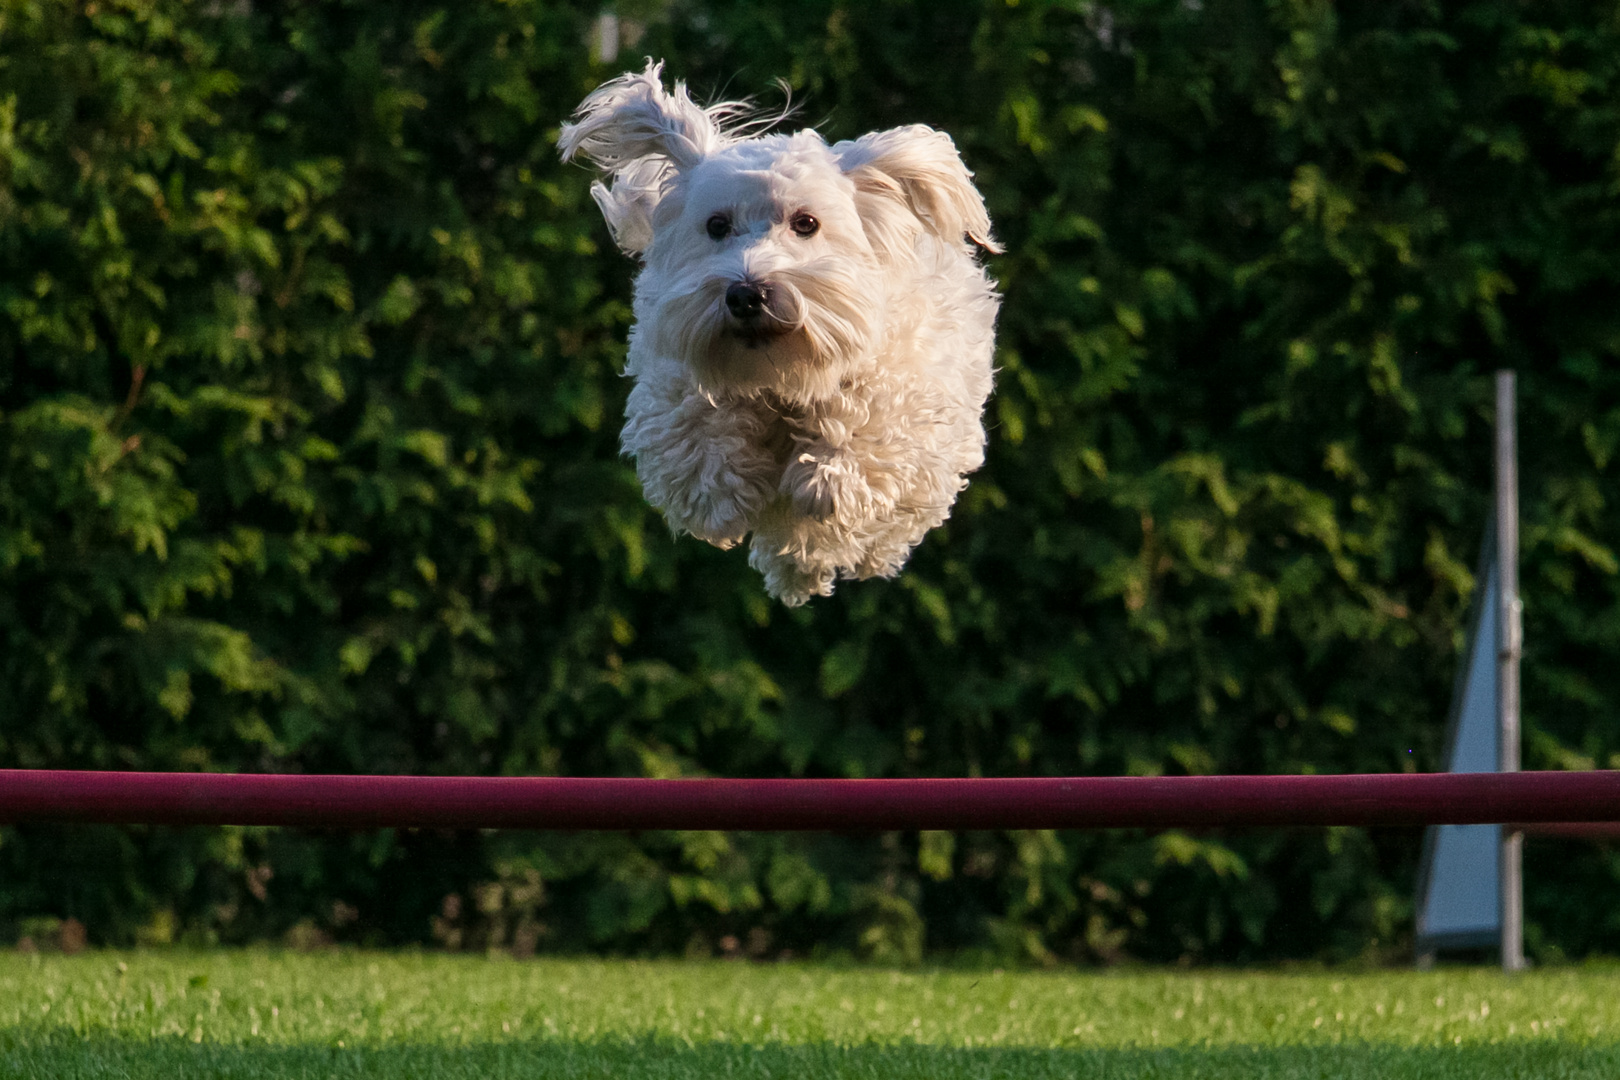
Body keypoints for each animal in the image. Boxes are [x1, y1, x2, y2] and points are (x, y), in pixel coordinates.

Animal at [560, 63, 997, 608]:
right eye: (716, 225)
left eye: (806, 223)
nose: (747, 294)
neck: (778, 372)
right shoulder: (672, 379)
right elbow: (697, 433)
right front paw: (726, 495)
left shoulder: (908, 389)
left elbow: (866, 421)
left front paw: (827, 482)